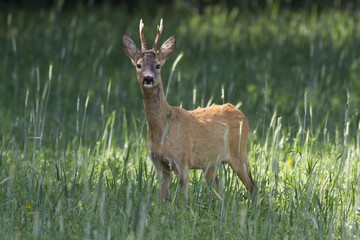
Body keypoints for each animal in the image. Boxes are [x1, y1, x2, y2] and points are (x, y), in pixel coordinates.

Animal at [124, 18, 256, 202]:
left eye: (158, 65)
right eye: (138, 65)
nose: (148, 78)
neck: (163, 129)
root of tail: (242, 114)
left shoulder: (183, 160)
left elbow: (185, 198)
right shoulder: (158, 162)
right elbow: (161, 198)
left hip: (239, 152)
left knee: (252, 185)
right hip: (212, 164)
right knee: (218, 189)